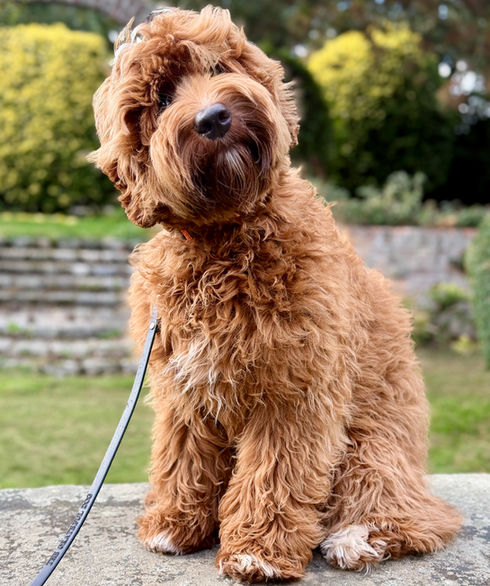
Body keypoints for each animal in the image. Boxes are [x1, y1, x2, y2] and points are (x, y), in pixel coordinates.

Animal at [90, 6, 461, 582]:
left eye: (218, 67)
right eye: (163, 99)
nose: (213, 118)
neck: (226, 240)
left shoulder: (294, 385)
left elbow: (275, 471)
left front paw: (256, 551)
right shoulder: (184, 385)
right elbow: (183, 452)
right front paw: (176, 523)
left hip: (372, 443)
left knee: (407, 510)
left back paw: (359, 536)